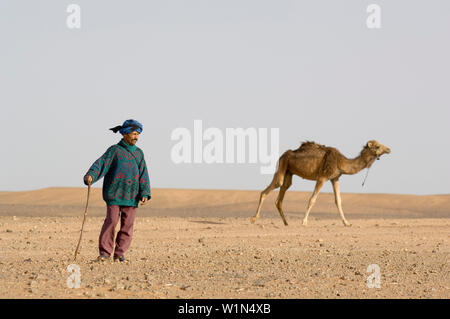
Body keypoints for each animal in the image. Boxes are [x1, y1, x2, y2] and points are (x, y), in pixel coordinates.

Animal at [250, 140, 390, 228]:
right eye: (377, 146)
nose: (389, 149)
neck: (341, 162)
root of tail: (283, 154)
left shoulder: (335, 178)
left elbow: (338, 201)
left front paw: (347, 223)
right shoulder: (322, 177)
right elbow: (312, 199)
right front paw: (304, 222)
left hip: (289, 173)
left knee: (281, 195)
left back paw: (286, 223)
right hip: (282, 165)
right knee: (269, 189)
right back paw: (254, 219)